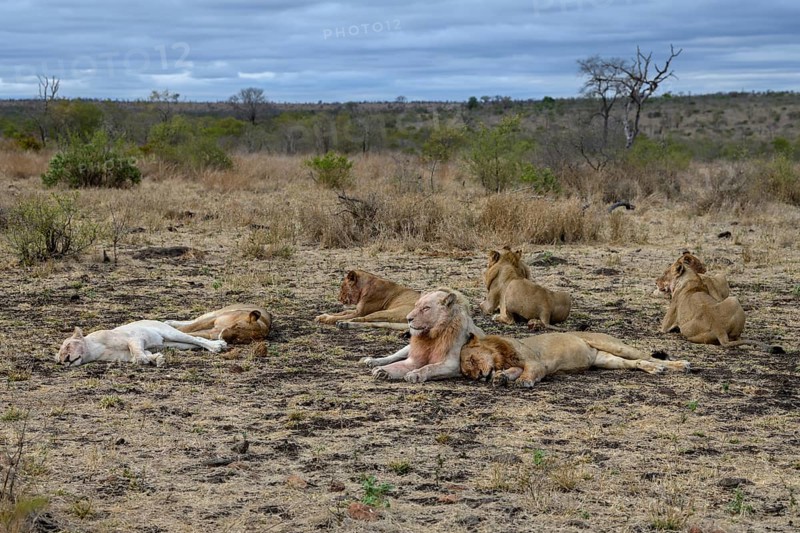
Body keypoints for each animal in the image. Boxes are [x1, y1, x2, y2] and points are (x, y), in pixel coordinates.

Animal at [57, 321, 227, 367]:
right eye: (58, 359)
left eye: (68, 346)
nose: (64, 360)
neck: (94, 350)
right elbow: (145, 353)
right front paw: (158, 359)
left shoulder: (134, 338)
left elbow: (135, 349)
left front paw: (143, 360)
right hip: (174, 344)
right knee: (194, 344)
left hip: (170, 333)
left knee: (196, 339)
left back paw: (217, 346)